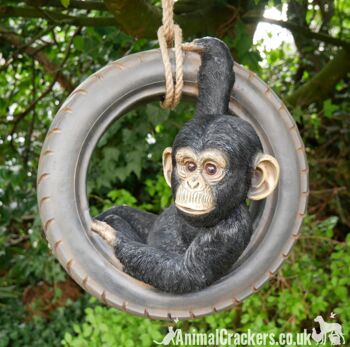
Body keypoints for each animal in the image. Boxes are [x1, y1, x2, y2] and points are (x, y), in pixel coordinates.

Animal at [91, 37, 278, 294]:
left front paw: (115, 234)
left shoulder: (229, 232)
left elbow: (184, 273)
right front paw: (207, 47)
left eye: (211, 169)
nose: (193, 182)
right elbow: (213, 99)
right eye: (188, 165)